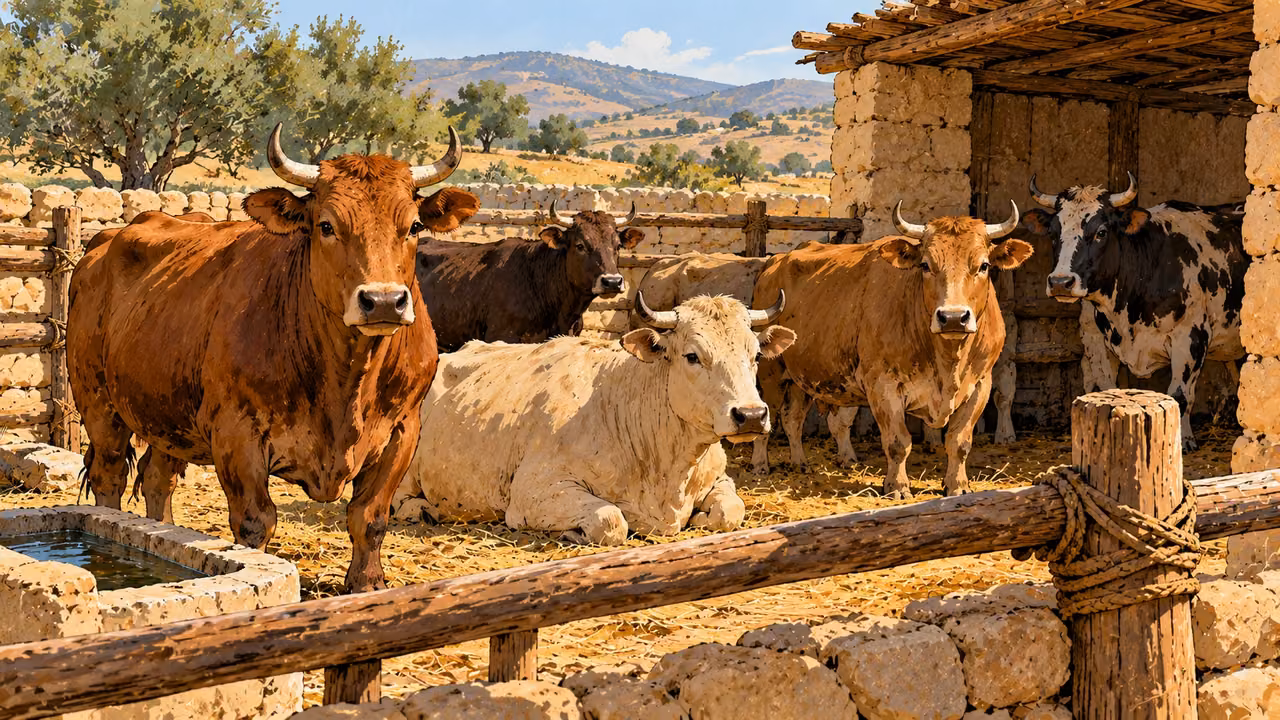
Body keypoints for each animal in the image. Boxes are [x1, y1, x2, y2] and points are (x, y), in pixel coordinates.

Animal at [68, 124, 478, 593]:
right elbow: (254, 524)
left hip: (168, 415)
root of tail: (104, 241)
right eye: (326, 225)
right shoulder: (237, 434)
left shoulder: (402, 431)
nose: (383, 301)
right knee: (109, 477)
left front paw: (368, 584)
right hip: (99, 406)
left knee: (158, 479)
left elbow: (369, 519)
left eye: (413, 225)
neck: (347, 379)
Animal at [390, 294, 794, 544]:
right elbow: (610, 521)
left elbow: (730, 511)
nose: (751, 414)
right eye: (692, 356)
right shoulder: (534, 492)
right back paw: (421, 510)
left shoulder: (719, 478)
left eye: (756, 355)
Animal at [750, 203, 1033, 498]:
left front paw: (958, 486)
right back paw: (760, 465)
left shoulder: (980, 384)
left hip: (801, 377)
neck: (947, 359)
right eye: (925, 265)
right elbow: (898, 443)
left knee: (792, 419)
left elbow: (959, 441)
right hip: (770, 374)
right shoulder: (883, 386)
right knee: (766, 419)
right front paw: (897, 487)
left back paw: (800, 463)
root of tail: (775, 261)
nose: (953, 318)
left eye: (984, 265)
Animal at [1024, 173, 1247, 452]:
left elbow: (1180, 395)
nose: (1060, 282)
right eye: (1053, 233)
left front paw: (1183, 441)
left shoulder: (1191, 338)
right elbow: (1104, 391)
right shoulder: (1095, 341)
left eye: (1101, 232)